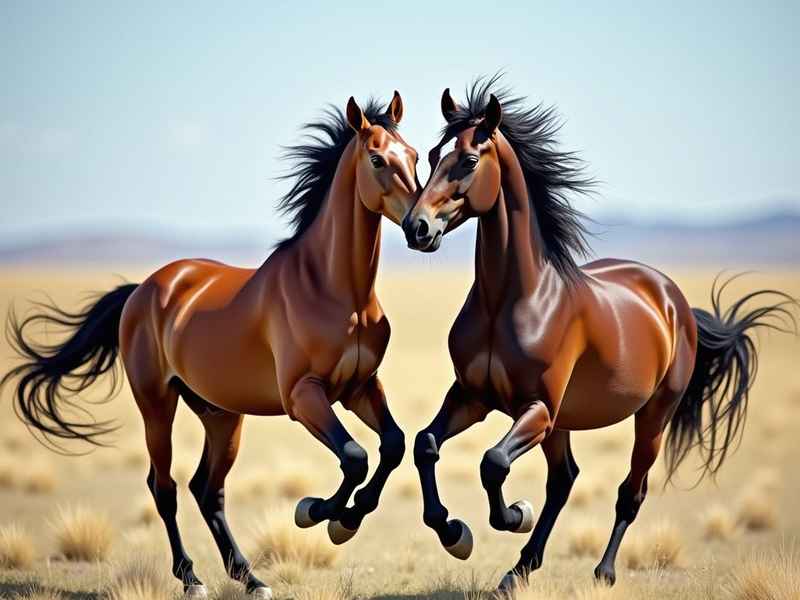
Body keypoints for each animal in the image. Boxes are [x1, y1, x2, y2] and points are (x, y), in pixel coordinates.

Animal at [1, 92, 419, 599]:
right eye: (378, 159)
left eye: (416, 156)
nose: (422, 228)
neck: (335, 289)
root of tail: (145, 288)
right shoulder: (303, 396)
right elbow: (355, 457)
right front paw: (316, 512)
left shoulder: (360, 387)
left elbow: (392, 445)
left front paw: (347, 519)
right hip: (157, 404)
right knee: (164, 486)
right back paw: (191, 577)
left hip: (220, 414)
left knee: (207, 489)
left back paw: (250, 578)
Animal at [401, 77, 796, 592]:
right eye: (431, 156)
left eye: (468, 159)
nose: (416, 228)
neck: (512, 299)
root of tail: (673, 301)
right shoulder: (473, 396)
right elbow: (426, 445)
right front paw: (453, 532)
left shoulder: (538, 408)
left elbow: (493, 462)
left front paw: (515, 514)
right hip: (563, 423)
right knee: (564, 480)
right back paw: (518, 571)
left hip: (651, 417)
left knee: (630, 491)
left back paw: (602, 572)